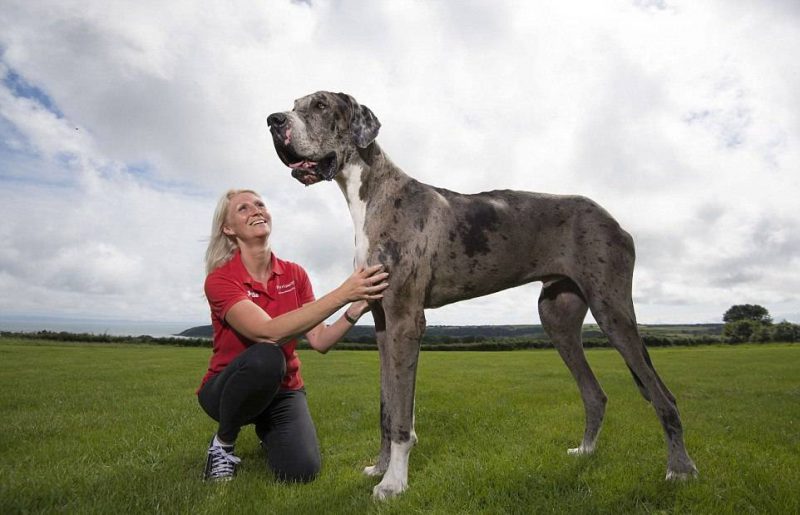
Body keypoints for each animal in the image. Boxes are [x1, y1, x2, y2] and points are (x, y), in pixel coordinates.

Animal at [266, 91, 696, 500]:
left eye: (321, 105)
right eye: (293, 104)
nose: (273, 120)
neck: (371, 194)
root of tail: (614, 220)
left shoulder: (406, 320)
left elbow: (402, 416)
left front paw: (394, 484)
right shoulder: (383, 323)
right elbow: (387, 409)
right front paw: (380, 468)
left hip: (612, 310)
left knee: (663, 396)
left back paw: (680, 469)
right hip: (556, 317)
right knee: (595, 394)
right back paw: (586, 452)